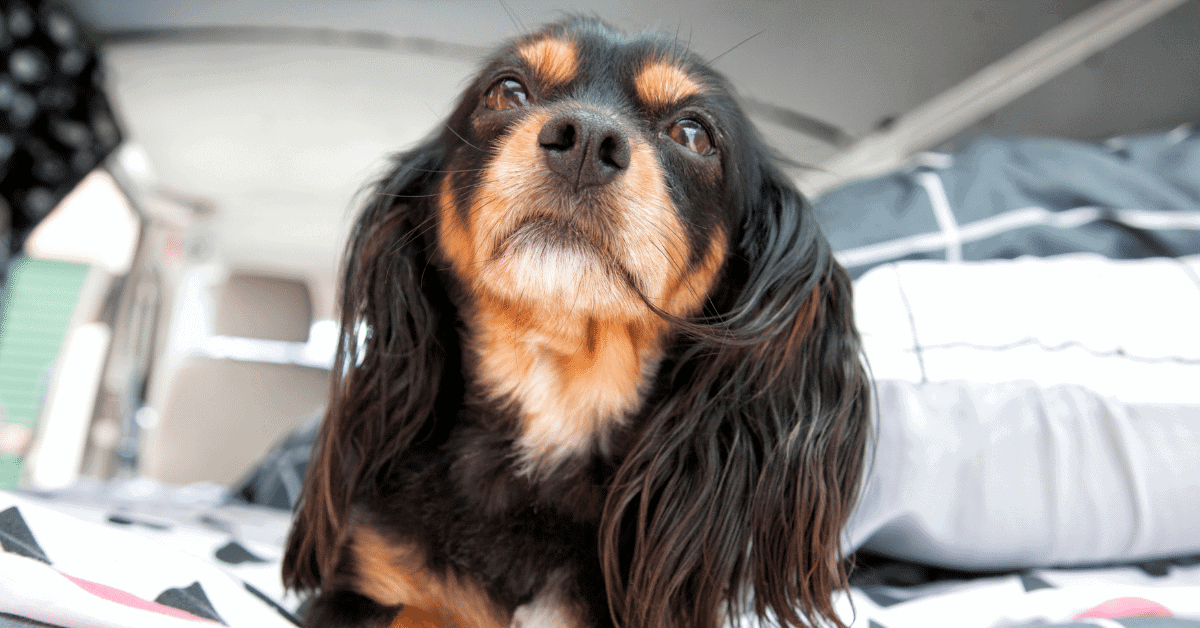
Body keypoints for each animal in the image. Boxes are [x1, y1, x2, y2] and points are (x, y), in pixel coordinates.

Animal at [284, 14, 868, 628]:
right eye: (506, 91)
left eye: (693, 134)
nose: (586, 139)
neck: (553, 397)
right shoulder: (356, 589)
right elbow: (414, 610)